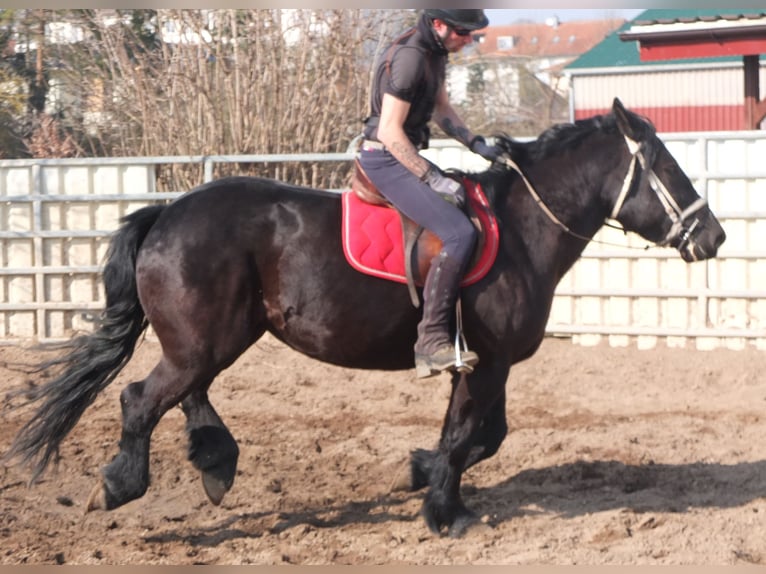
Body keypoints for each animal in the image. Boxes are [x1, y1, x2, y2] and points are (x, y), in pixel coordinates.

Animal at [6, 100, 728, 540]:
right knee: (141, 399)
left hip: (215, 339)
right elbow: (467, 438)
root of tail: (168, 211)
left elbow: (482, 437)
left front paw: (421, 474)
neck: (521, 228)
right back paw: (121, 485)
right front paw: (444, 511)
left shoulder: (483, 365)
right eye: (665, 166)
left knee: (188, 396)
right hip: (202, 342)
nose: (714, 236)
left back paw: (215, 462)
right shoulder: (486, 364)